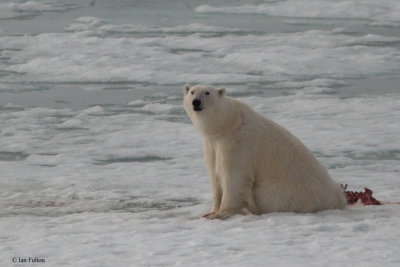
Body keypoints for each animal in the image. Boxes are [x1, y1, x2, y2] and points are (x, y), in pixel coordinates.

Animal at [183, 85, 346, 220]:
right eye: (192, 91)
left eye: (207, 92)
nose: (196, 102)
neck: (228, 123)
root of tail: (336, 198)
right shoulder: (213, 145)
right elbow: (215, 174)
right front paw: (212, 210)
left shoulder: (238, 144)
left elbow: (232, 175)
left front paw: (221, 213)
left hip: (284, 192)